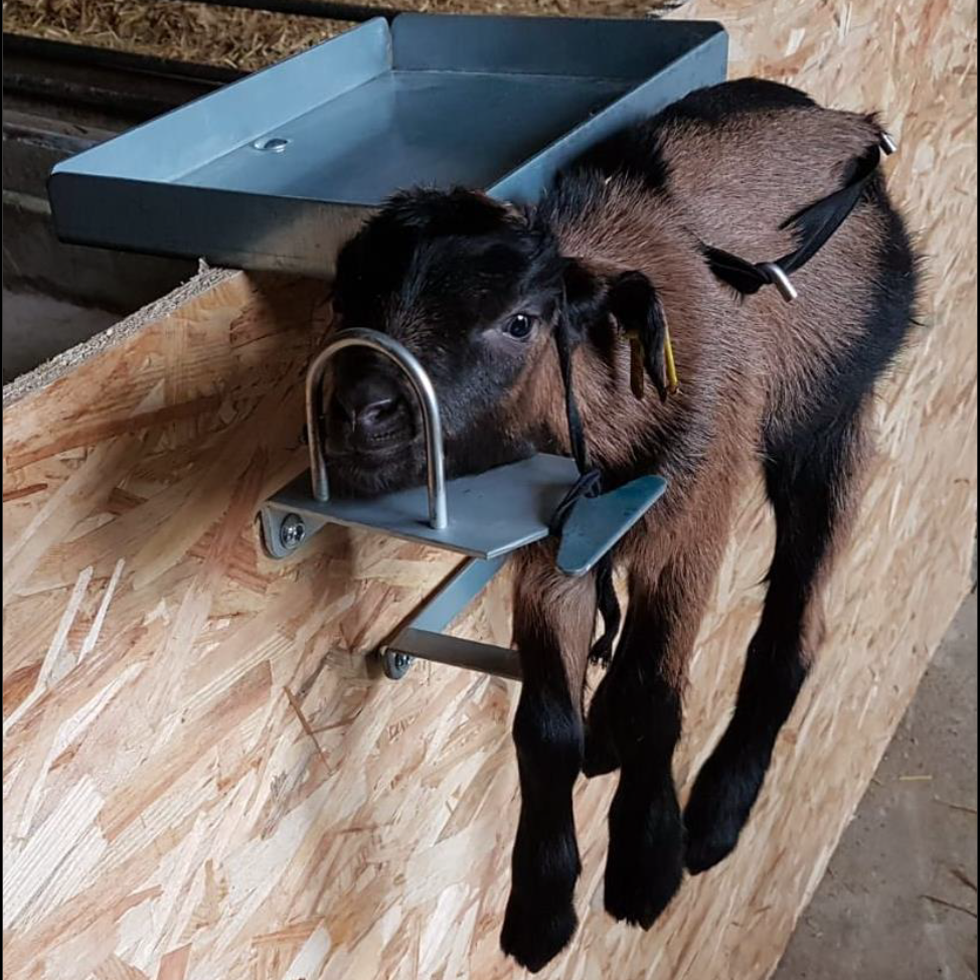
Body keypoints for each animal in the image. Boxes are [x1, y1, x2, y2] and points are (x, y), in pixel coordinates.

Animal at [323, 78, 920, 973]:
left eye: (521, 321)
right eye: (344, 299)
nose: (361, 413)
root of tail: (847, 122)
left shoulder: (700, 507)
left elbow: (652, 692)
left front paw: (646, 864)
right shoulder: (557, 551)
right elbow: (546, 728)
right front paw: (540, 912)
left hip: (830, 417)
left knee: (792, 630)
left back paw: (716, 817)